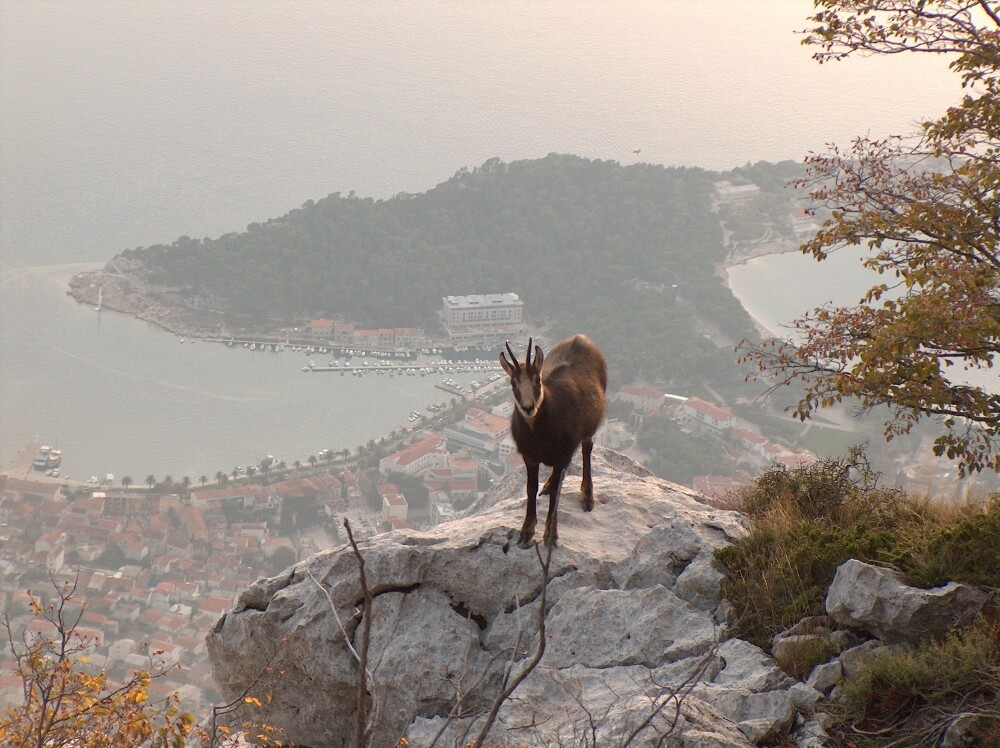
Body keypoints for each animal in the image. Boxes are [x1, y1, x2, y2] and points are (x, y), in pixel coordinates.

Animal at [498, 336, 604, 548]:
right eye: (513, 383)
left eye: (537, 380)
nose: (528, 407)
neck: (540, 434)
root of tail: (580, 338)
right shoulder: (530, 456)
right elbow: (531, 488)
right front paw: (526, 531)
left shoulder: (563, 454)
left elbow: (556, 493)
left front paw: (550, 534)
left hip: (588, 428)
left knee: (586, 448)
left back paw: (587, 496)